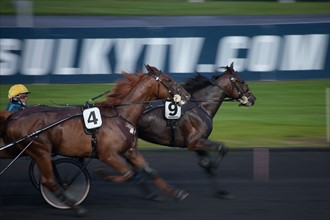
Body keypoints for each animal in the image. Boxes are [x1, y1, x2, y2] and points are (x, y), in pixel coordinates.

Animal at [0, 64, 189, 216]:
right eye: (168, 80)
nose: (186, 96)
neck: (120, 116)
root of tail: (13, 117)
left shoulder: (130, 150)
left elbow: (150, 170)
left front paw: (176, 193)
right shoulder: (108, 155)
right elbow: (128, 173)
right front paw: (104, 174)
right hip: (40, 150)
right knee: (49, 181)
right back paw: (76, 207)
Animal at [135, 62, 256, 198]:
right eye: (242, 81)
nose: (253, 98)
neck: (201, 106)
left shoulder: (199, 142)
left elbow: (206, 162)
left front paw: (221, 192)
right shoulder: (194, 141)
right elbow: (222, 148)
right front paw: (213, 165)